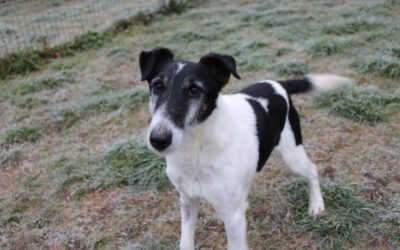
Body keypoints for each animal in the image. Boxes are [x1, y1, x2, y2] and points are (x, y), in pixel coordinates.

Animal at [139, 47, 352, 250]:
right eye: (157, 86)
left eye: (194, 90)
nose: (158, 139)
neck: (197, 146)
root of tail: (277, 84)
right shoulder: (187, 200)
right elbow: (185, 242)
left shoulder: (233, 216)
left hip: (293, 154)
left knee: (312, 170)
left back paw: (316, 204)